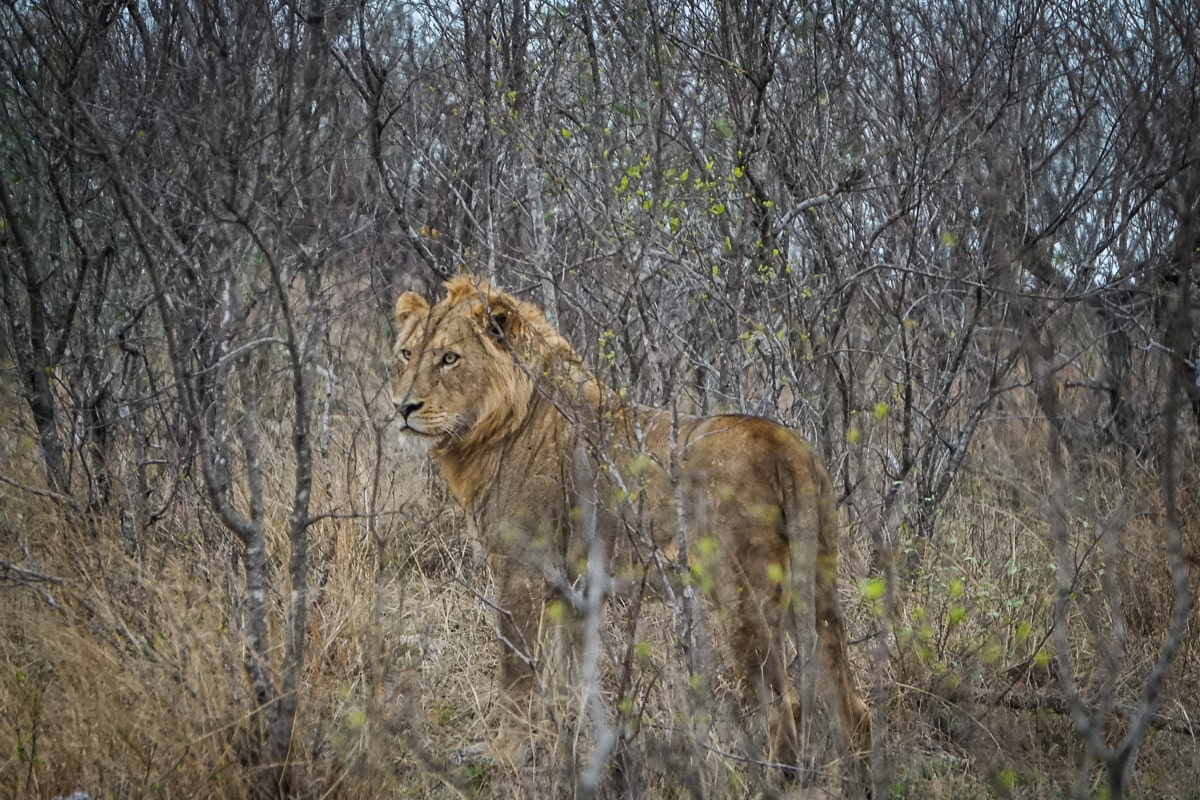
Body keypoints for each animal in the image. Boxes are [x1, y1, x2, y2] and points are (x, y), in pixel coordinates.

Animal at [392, 275, 871, 779]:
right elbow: (570, 681)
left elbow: (517, 674)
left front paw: (507, 756)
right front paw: (575, 751)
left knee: (783, 705)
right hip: (819, 585)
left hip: (742, 595)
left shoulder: (520, 572)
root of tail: (786, 447)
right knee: (849, 704)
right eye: (406, 353)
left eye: (449, 358)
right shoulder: (571, 588)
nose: (402, 406)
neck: (497, 424)